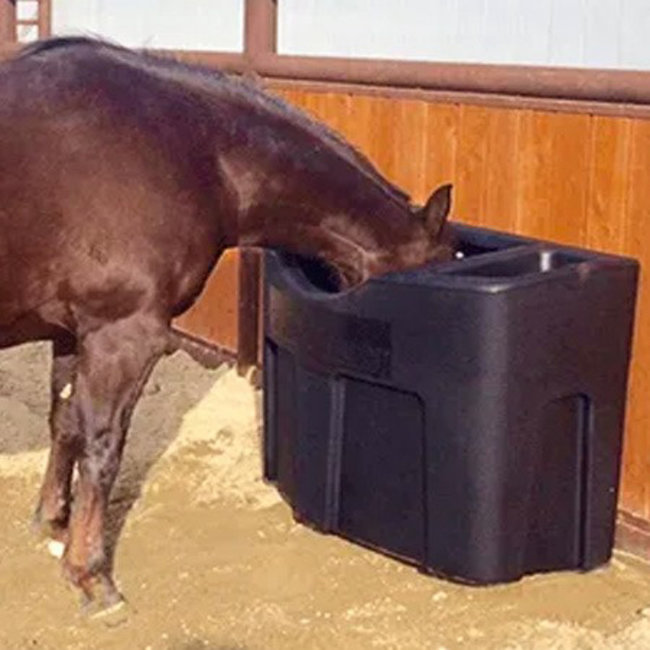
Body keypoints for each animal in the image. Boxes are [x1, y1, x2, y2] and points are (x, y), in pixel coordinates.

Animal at [0, 37, 454, 610]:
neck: (196, 151)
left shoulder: (70, 329)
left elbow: (66, 426)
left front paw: (50, 522)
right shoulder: (123, 334)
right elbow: (103, 446)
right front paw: (93, 578)